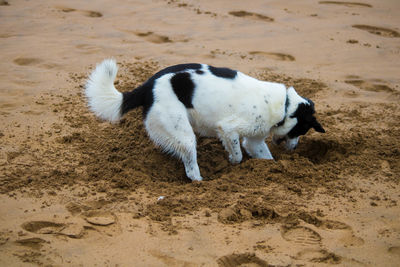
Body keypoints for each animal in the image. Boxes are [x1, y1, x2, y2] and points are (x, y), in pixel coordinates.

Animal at [85, 60, 324, 182]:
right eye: (302, 130)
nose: (295, 149)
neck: (284, 106)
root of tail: (147, 87)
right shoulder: (228, 128)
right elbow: (237, 154)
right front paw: (232, 162)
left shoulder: (254, 140)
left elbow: (266, 157)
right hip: (184, 134)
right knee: (191, 168)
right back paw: (200, 183)